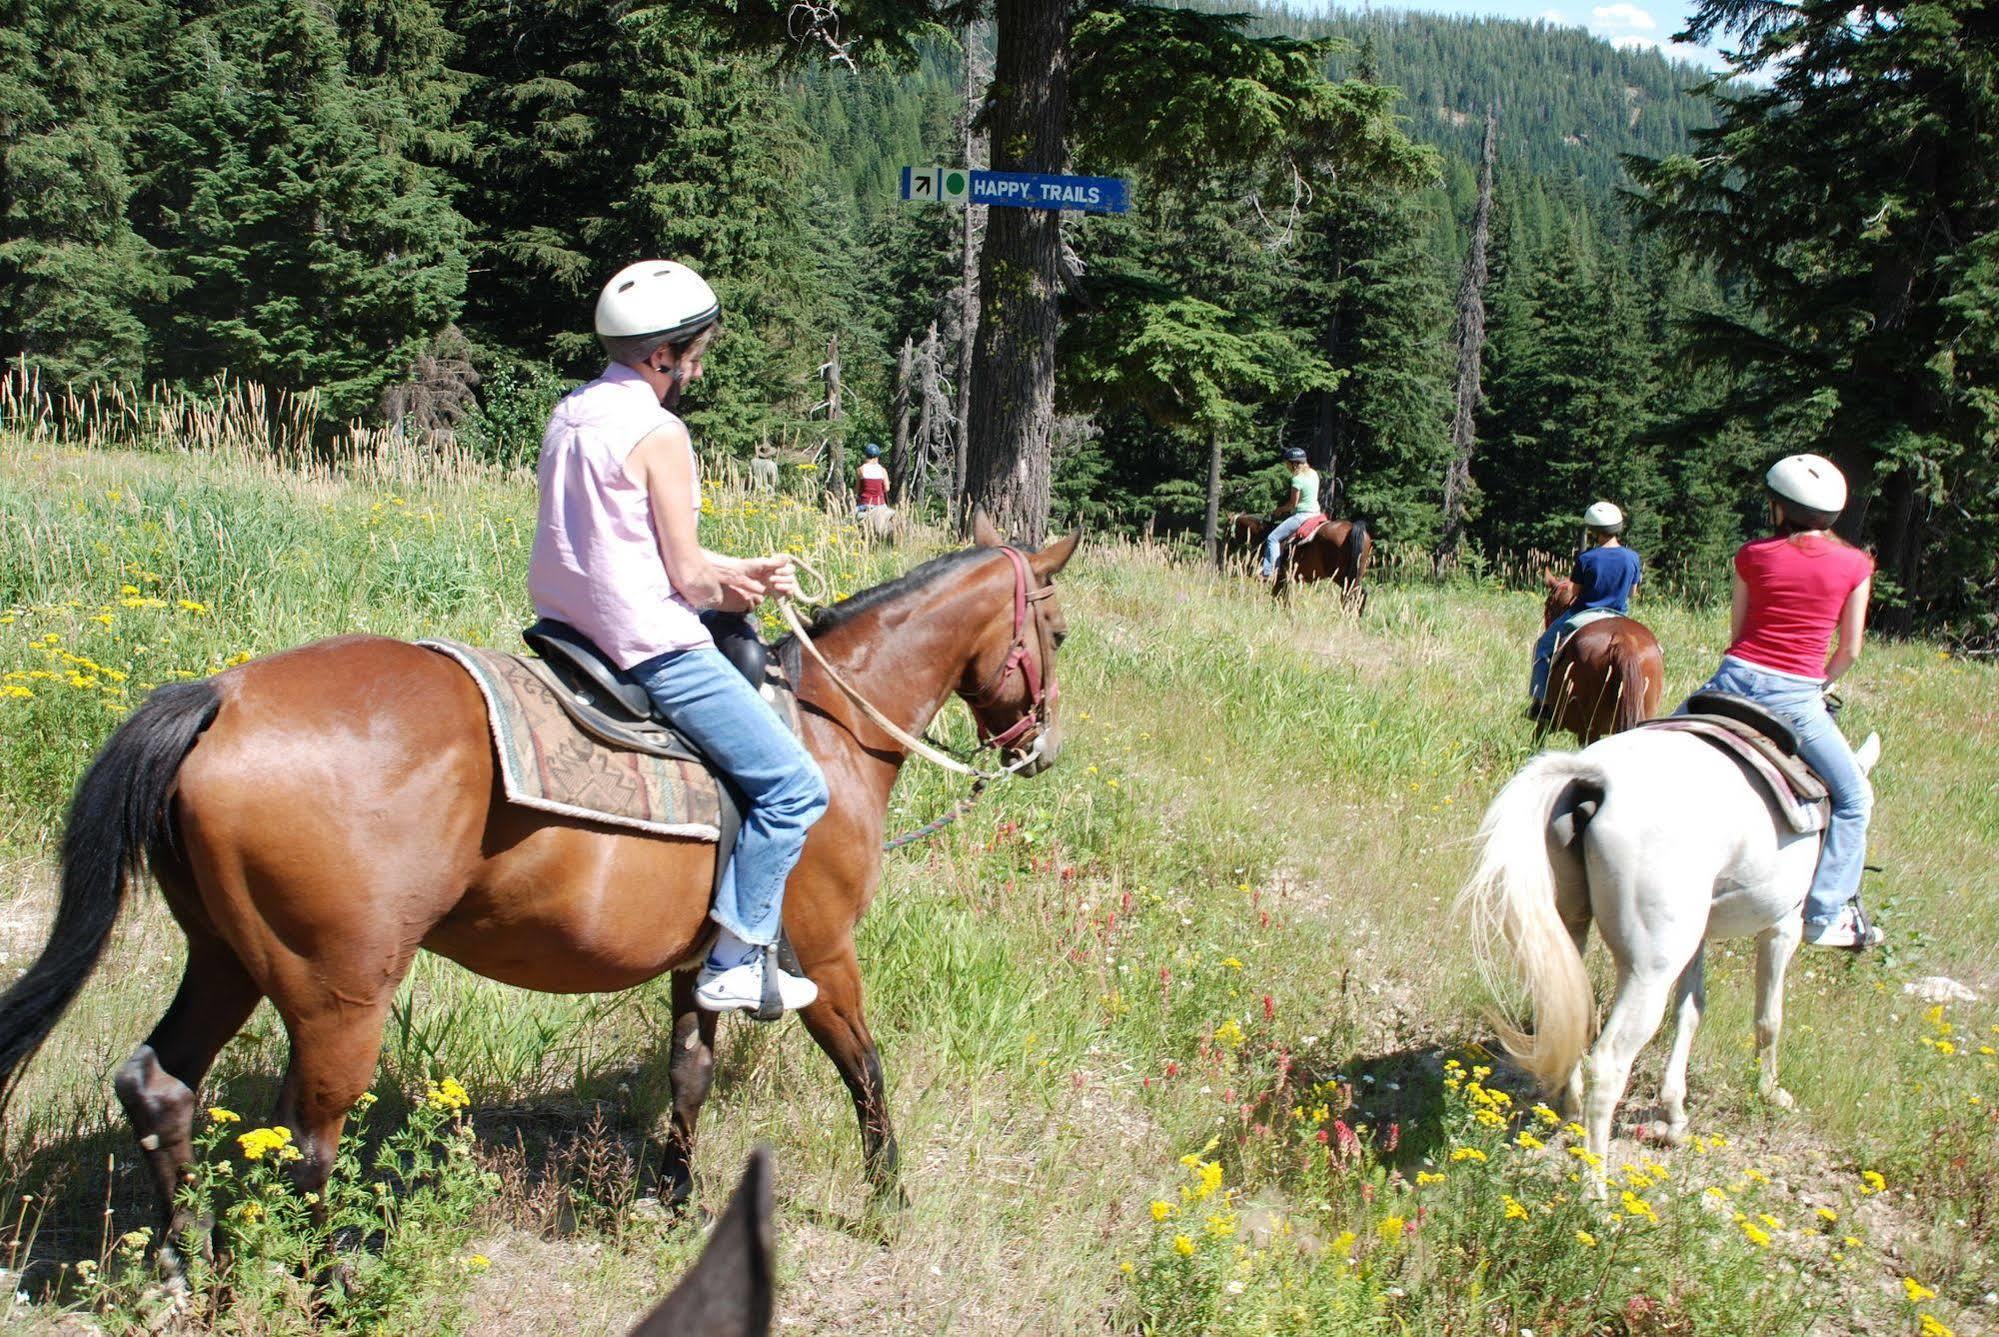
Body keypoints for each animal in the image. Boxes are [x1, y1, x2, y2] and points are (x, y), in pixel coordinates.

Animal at [0, 511, 1079, 1263]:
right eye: (1057, 633)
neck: (824, 726)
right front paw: (891, 1199)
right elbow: (866, 1069)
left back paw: (186, 1263)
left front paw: (670, 1198)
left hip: (225, 954)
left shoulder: (703, 959)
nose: (1039, 751)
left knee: (160, 1083)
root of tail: (219, 696)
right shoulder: (820, 948)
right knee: (311, 1133)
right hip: (337, 985)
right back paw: (333, 1277)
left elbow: (687, 1072)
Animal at [1463, 719, 1879, 1167]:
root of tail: (1594, 776)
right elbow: (1769, 1017)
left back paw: (1571, 1108)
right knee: (1608, 1064)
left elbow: (1691, 1010)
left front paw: (1674, 1112)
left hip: (1573, 928)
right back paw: (1595, 1180)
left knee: (1567, 1013)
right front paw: (1769, 1090)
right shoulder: (1781, 928)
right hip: (1650, 969)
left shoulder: (1696, 941)